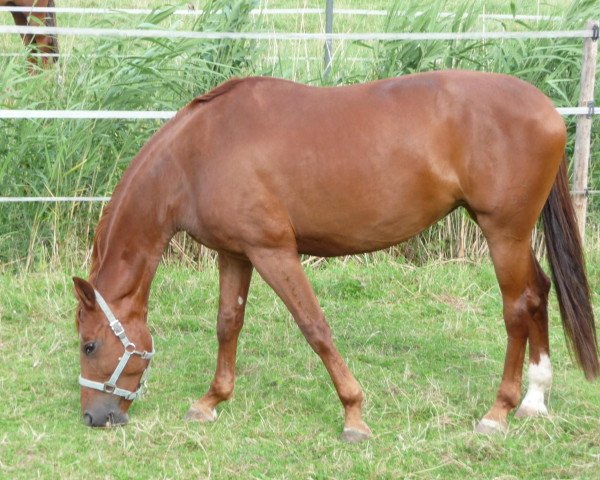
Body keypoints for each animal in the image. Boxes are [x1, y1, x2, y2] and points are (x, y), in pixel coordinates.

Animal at [72, 69, 596, 440]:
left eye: (89, 345)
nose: (95, 417)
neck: (197, 154)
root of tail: (547, 109)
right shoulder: (235, 254)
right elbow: (228, 323)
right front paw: (211, 401)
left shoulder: (274, 252)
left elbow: (315, 327)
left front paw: (354, 414)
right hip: (512, 235)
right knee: (539, 292)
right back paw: (535, 400)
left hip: (503, 232)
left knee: (517, 308)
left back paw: (498, 412)